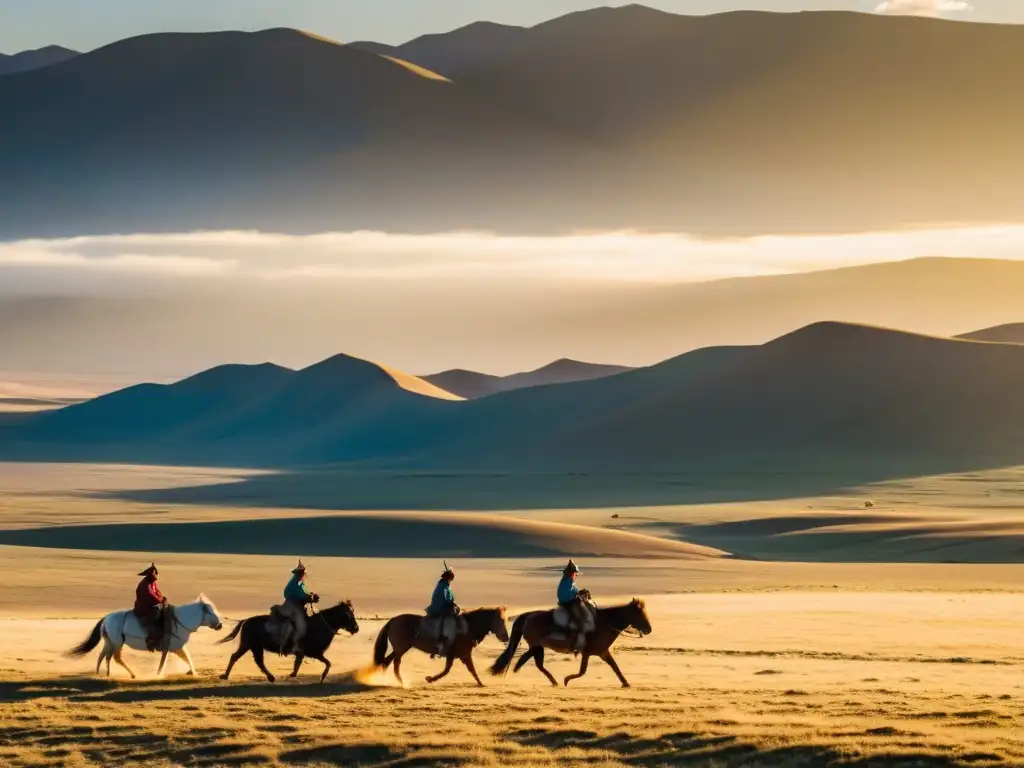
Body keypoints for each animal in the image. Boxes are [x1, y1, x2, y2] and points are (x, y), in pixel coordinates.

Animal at [67, 593, 223, 679]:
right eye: (211, 612)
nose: (220, 625)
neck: (180, 620)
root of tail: (107, 617)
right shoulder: (170, 647)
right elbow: (165, 663)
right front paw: (158, 675)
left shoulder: (177, 647)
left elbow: (188, 659)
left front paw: (193, 673)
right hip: (116, 642)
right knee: (109, 657)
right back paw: (109, 674)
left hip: (112, 642)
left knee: (105, 656)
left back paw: (110, 673)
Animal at [218, 602, 358, 684]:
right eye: (348, 615)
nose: (356, 628)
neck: (320, 625)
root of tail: (246, 620)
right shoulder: (314, 653)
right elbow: (328, 663)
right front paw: (322, 677)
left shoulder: (307, 653)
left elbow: (299, 663)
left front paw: (293, 674)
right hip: (250, 644)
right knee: (243, 658)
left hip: (253, 646)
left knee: (252, 660)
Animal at [372, 610, 507, 688]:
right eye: (500, 621)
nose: (506, 637)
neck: (468, 627)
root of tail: (393, 620)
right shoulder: (464, 654)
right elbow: (471, 669)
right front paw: (481, 683)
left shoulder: (453, 655)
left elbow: (447, 670)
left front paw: (430, 679)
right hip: (401, 649)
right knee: (395, 663)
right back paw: (401, 682)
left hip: (399, 649)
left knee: (387, 661)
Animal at [485, 598, 647, 688]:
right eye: (639, 614)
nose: (649, 629)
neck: (604, 622)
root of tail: (528, 616)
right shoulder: (588, 653)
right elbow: (582, 671)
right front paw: (567, 680)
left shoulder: (602, 652)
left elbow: (615, 667)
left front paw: (625, 683)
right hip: (537, 646)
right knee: (530, 660)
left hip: (537, 646)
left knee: (533, 662)